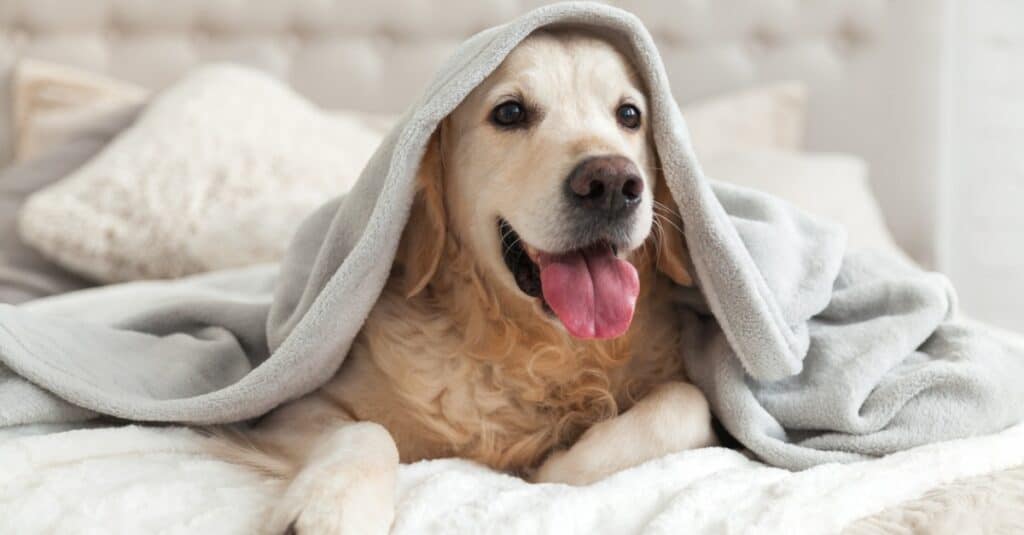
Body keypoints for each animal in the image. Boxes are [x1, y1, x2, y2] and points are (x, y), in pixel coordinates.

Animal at [223, 30, 716, 532]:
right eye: (510, 112)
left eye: (630, 115)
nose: (612, 184)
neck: (534, 349)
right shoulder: (286, 410)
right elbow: (366, 429)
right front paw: (330, 506)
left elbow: (689, 402)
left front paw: (560, 463)